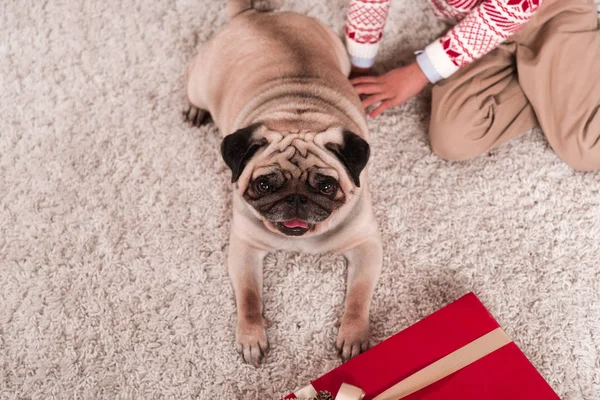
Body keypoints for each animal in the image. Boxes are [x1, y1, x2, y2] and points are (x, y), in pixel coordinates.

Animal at [183, 0, 382, 366]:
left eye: (326, 186)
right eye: (264, 185)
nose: (296, 198)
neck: (297, 118)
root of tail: (253, 15)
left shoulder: (366, 246)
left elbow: (359, 297)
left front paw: (353, 334)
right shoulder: (245, 248)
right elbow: (249, 298)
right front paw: (252, 336)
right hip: (202, 84)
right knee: (191, 77)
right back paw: (193, 109)